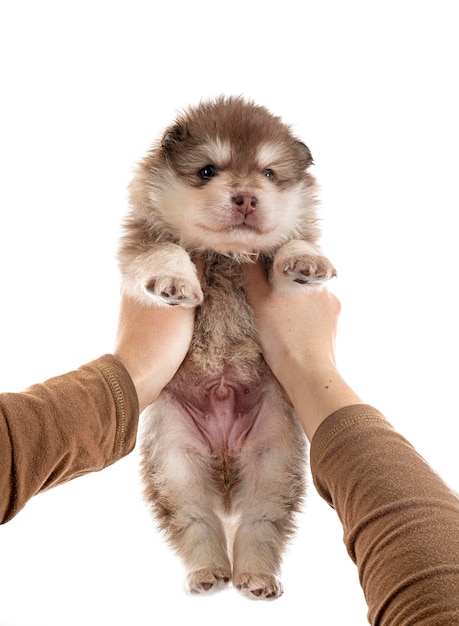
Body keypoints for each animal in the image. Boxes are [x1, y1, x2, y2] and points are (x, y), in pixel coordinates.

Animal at [117, 95, 336, 596]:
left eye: (269, 174)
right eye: (206, 171)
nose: (246, 198)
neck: (226, 256)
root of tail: (224, 464)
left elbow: (288, 245)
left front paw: (305, 260)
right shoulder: (139, 247)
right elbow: (165, 252)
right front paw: (177, 282)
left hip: (274, 461)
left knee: (260, 523)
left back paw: (256, 576)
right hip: (175, 463)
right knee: (196, 521)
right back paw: (208, 572)